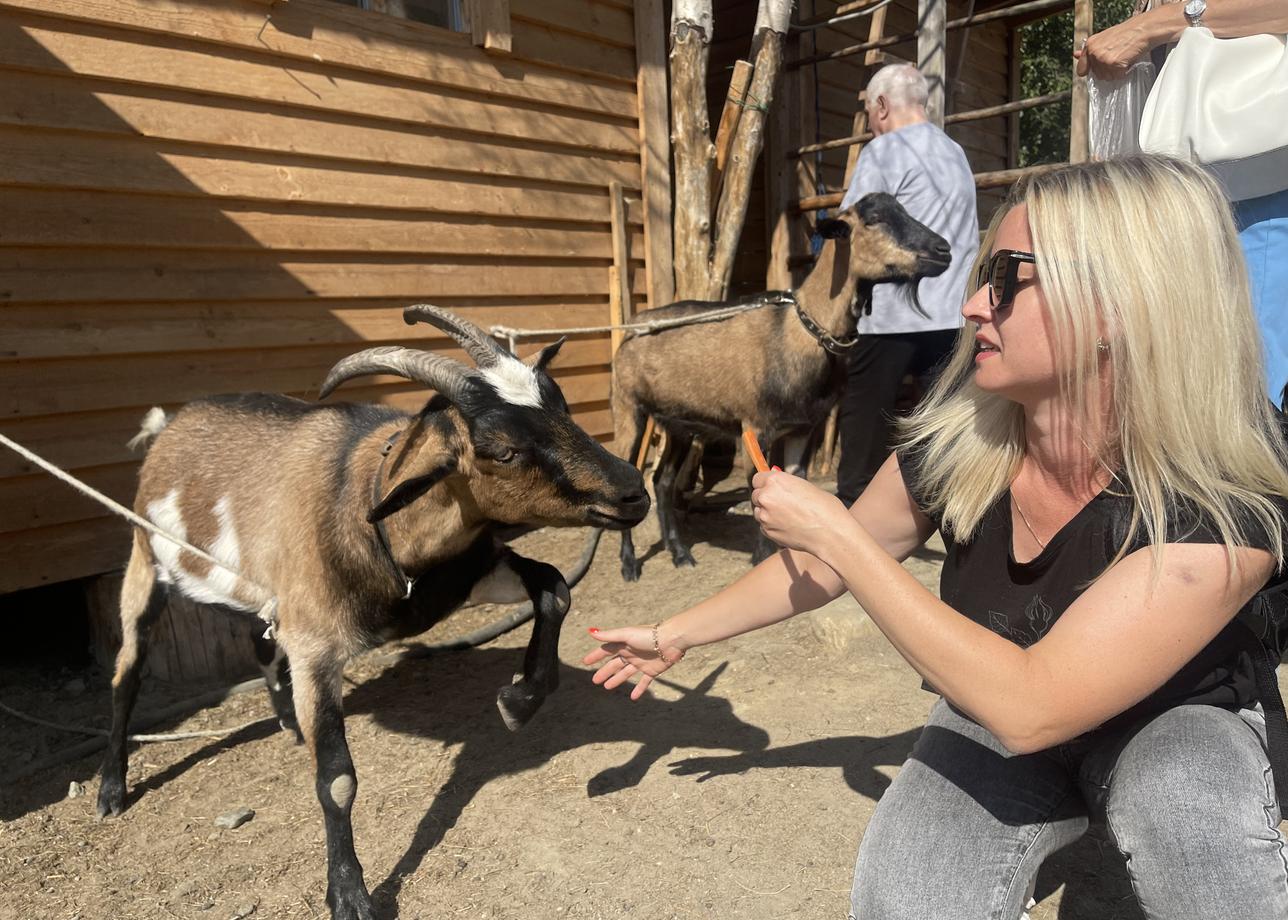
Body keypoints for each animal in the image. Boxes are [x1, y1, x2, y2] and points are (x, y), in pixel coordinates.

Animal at [94, 304, 649, 917]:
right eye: (503, 450)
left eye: (563, 408)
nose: (632, 491)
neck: (366, 504)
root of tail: (167, 428)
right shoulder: (316, 645)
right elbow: (336, 779)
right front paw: (349, 894)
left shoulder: (462, 579)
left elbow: (555, 588)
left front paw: (519, 700)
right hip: (144, 563)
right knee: (127, 670)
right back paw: (112, 790)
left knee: (257, 639)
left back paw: (288, 723)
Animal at [607, 191, 953, 579]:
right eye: (874, 218)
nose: (943, 250)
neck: (802, 330)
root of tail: (633, 326)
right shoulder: (755, 425)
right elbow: (755, 490)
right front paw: (762, 558)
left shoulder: (803, 428)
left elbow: (794, 478)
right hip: (628, 408)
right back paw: (628, 564)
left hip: (677, 422)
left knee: (663, 481)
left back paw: (680, 552)